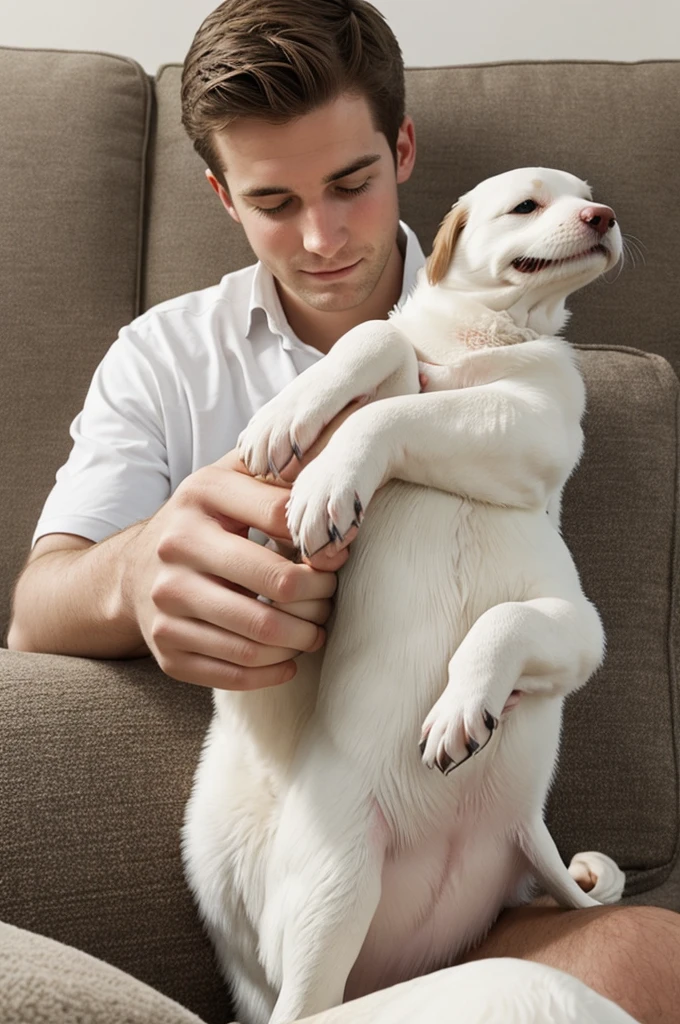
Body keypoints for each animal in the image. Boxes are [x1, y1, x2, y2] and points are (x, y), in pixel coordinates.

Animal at [182, 167, 626, 1024]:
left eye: (585, 195)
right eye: (526, 205)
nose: (604, 215)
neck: (484, 341)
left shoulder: (573, 614)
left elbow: (502, 618)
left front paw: (462, 707)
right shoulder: (415, 374)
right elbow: (377, 345)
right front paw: (294, 422)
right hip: (337, 884)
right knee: (303, 1006)